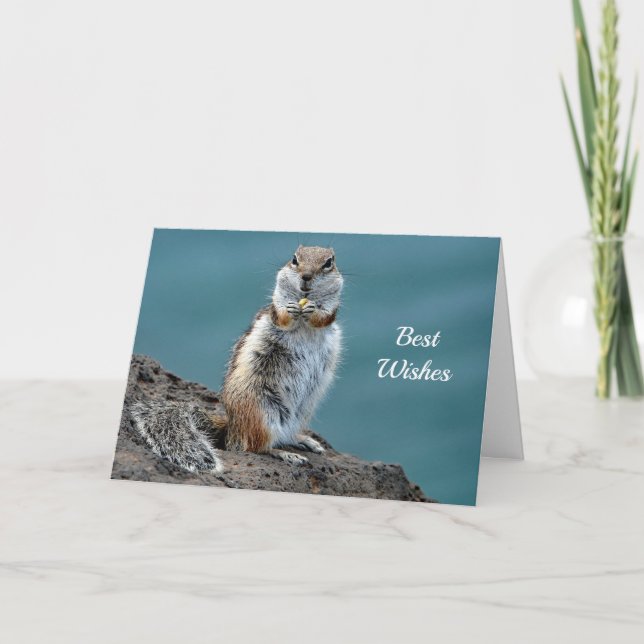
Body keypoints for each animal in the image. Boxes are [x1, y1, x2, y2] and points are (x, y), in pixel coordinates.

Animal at [130, 245, 343, 475]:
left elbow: (323, 317)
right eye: (294, 259)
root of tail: (231, 430)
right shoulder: (276, 306)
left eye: (328, 263)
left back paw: (305, 441)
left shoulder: (331, 309)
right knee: (254, 447)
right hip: (263, 414)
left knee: (281, 437)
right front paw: (291, 310)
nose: (306, 277)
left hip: (301, 413)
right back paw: (286, 454)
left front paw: (313, 309)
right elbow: (282, 317)